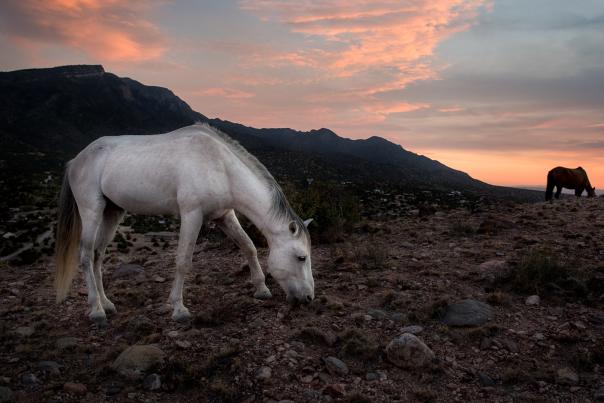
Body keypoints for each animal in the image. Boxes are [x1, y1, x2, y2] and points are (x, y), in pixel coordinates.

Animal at [55, 123, 316, 326]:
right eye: (301, 257)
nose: (309, 298)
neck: (221, 165)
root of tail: (76, 160)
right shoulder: (192, 215)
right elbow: (183, 261)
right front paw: (178, 308)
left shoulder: (224, 215)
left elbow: (249, 247)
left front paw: (261, 289)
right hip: (92, 211)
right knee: (86, 255)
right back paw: (96, 310)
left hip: (112, 212)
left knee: (98, 255)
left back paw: (107, 304)